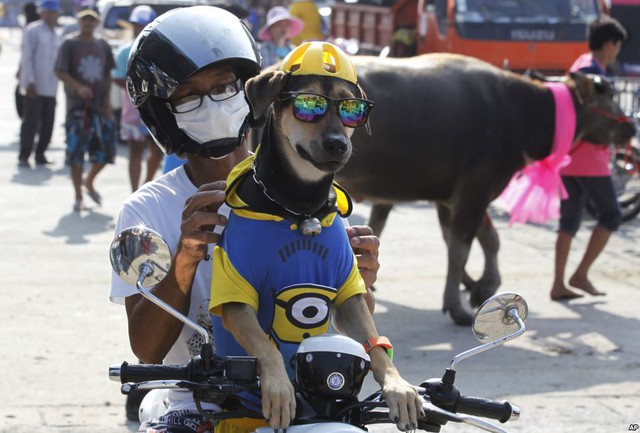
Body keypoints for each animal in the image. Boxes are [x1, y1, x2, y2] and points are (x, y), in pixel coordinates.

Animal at [332, 53, 636, 324]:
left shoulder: (455, 197)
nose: (631, 126)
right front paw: (458, 307)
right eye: (608, 97)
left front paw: (484, 286)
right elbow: (460, 250)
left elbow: (487, 239)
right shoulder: (474, 192)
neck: (519, 113)